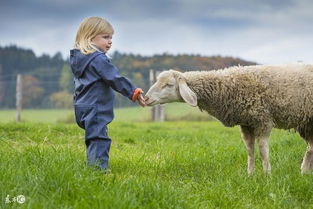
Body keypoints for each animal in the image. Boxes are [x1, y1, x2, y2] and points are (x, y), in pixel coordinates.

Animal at [144, 64, 313, 175]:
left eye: (168, 84)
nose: (145, 99)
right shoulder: (247, 123)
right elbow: (250, 150)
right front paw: (250, 175)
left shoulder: (263, 119)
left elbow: (263, 149)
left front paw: (267, 175)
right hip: (306, 122)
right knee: (311, 147)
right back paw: (304, 172)